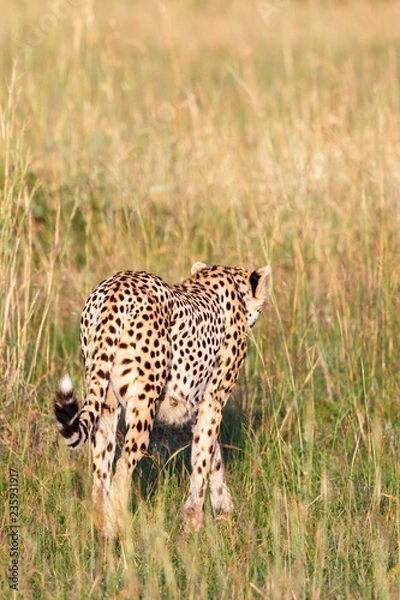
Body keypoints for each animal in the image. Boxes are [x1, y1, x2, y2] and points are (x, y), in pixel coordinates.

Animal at [54, 262, 270, 536]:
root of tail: (117, 286)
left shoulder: (198, 406)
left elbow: (213, 455)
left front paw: (223, 507)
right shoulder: (213, 400)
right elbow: (202, 458)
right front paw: (195, 521)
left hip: (104, 396)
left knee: (100, 467)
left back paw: (102, 526)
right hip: (145, 399)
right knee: (124, 464)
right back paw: (118, 528)